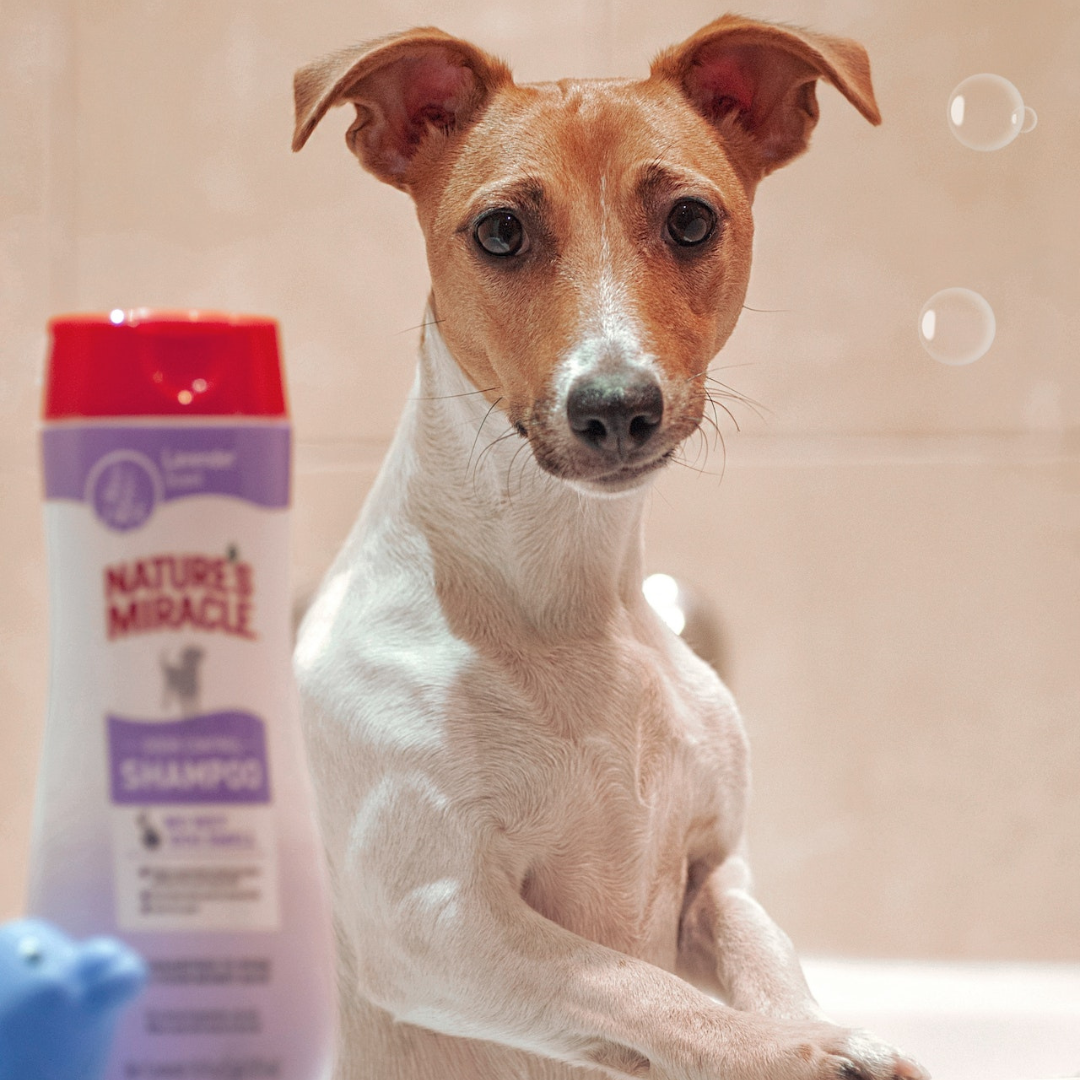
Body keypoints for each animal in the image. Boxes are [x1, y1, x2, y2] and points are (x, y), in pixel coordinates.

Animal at [293, 14, 928, 1080]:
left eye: (691, 221)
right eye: (500, 231)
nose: (618, 407)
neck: (557, 598)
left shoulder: (717, 870)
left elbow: (757, 971)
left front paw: (815, 1028)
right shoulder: (435, 922)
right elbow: (648, 993)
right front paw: (809, 1051)